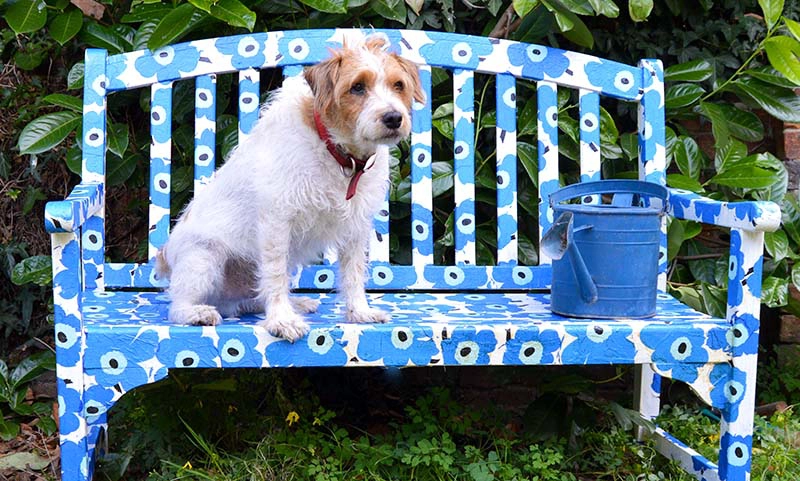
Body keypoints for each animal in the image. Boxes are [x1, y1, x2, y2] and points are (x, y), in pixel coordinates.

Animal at [155, 32, 424, 342]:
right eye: (357, 87)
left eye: (398, 85)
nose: (393, 118)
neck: (337, 152)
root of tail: (165, 255)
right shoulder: (276, 223)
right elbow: (275, 275)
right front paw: (282, 320)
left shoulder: (356, 226)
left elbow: (354, 273)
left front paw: (359, 312)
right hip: (203, 259)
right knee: (177, 306)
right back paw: (198, 313)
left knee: (252, 297)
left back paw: (296, 302)